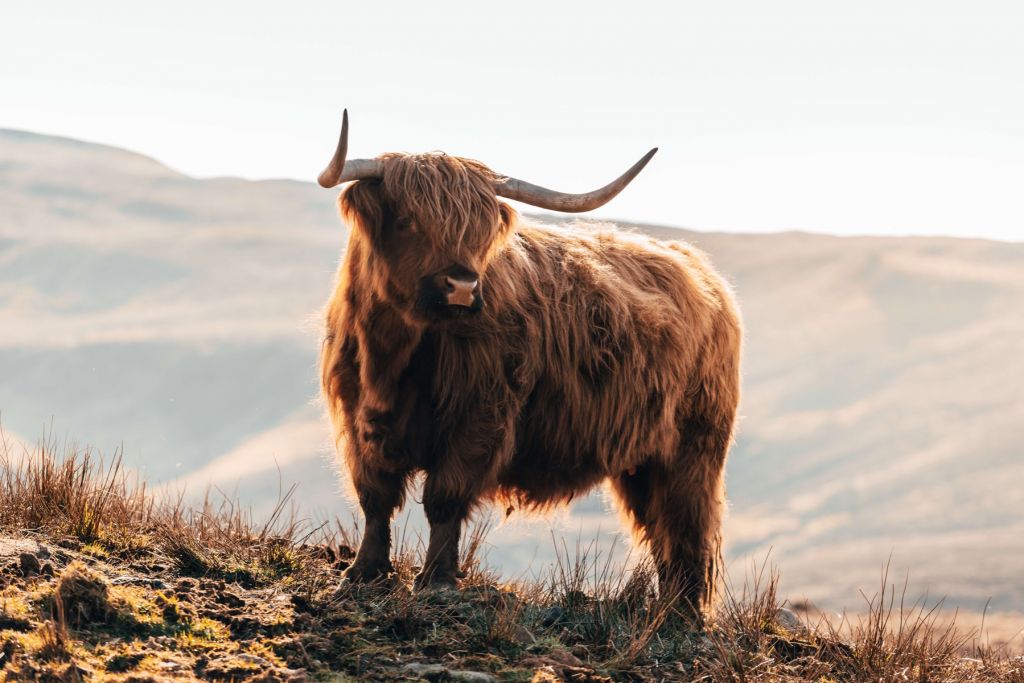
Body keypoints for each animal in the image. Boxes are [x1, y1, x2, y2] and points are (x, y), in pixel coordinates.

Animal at [315, 112, 741, 618]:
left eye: (479, 232)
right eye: (407, 221)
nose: (462, 286)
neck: (395, 355)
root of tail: (700, 270)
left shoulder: (481, 417)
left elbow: (444, 499)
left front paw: (437, 580)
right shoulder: (358, 417)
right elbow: (375, 497)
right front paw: (363, 573)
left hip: (693, 448)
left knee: (686, 525)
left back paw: (682, 614)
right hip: (642, 461)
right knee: (660, 528)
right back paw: (666, 609)